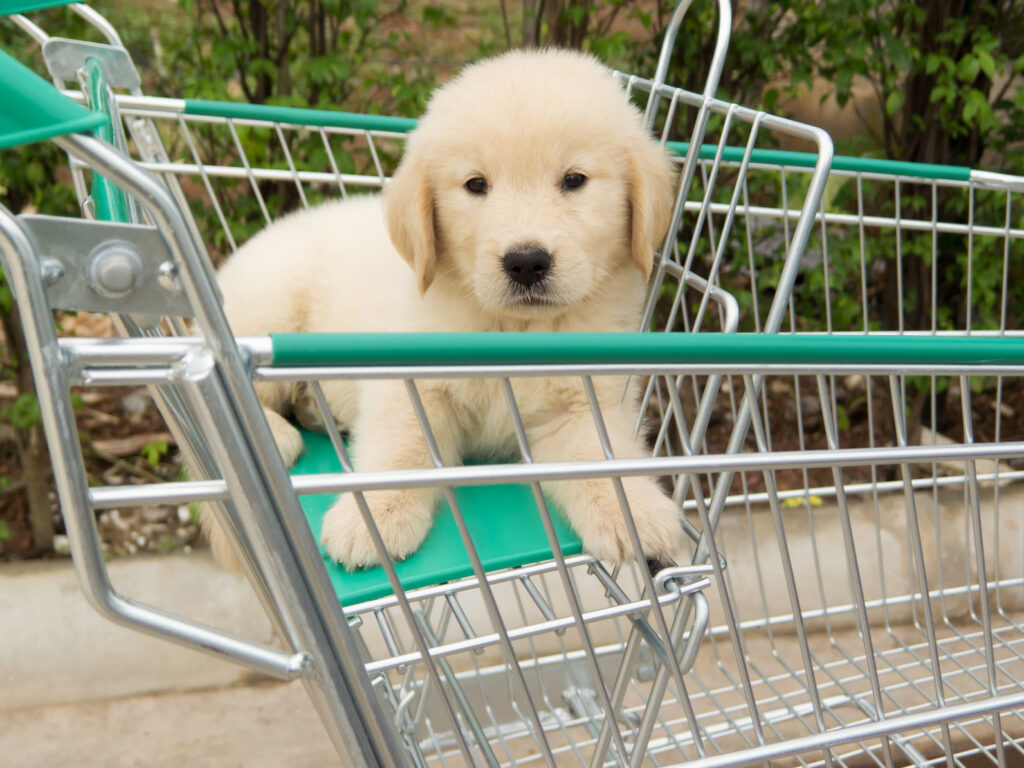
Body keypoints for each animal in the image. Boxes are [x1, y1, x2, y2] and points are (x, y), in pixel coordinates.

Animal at [209, 51, 679, 573]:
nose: (526, 262)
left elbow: (603, 455)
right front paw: (372, 519)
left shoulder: (583, 400)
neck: (513, 327)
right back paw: (276, 433)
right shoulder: (408, 384)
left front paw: (635, 510)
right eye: (476, 185)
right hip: (269, 303)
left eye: (575, 180)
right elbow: (401, 448)